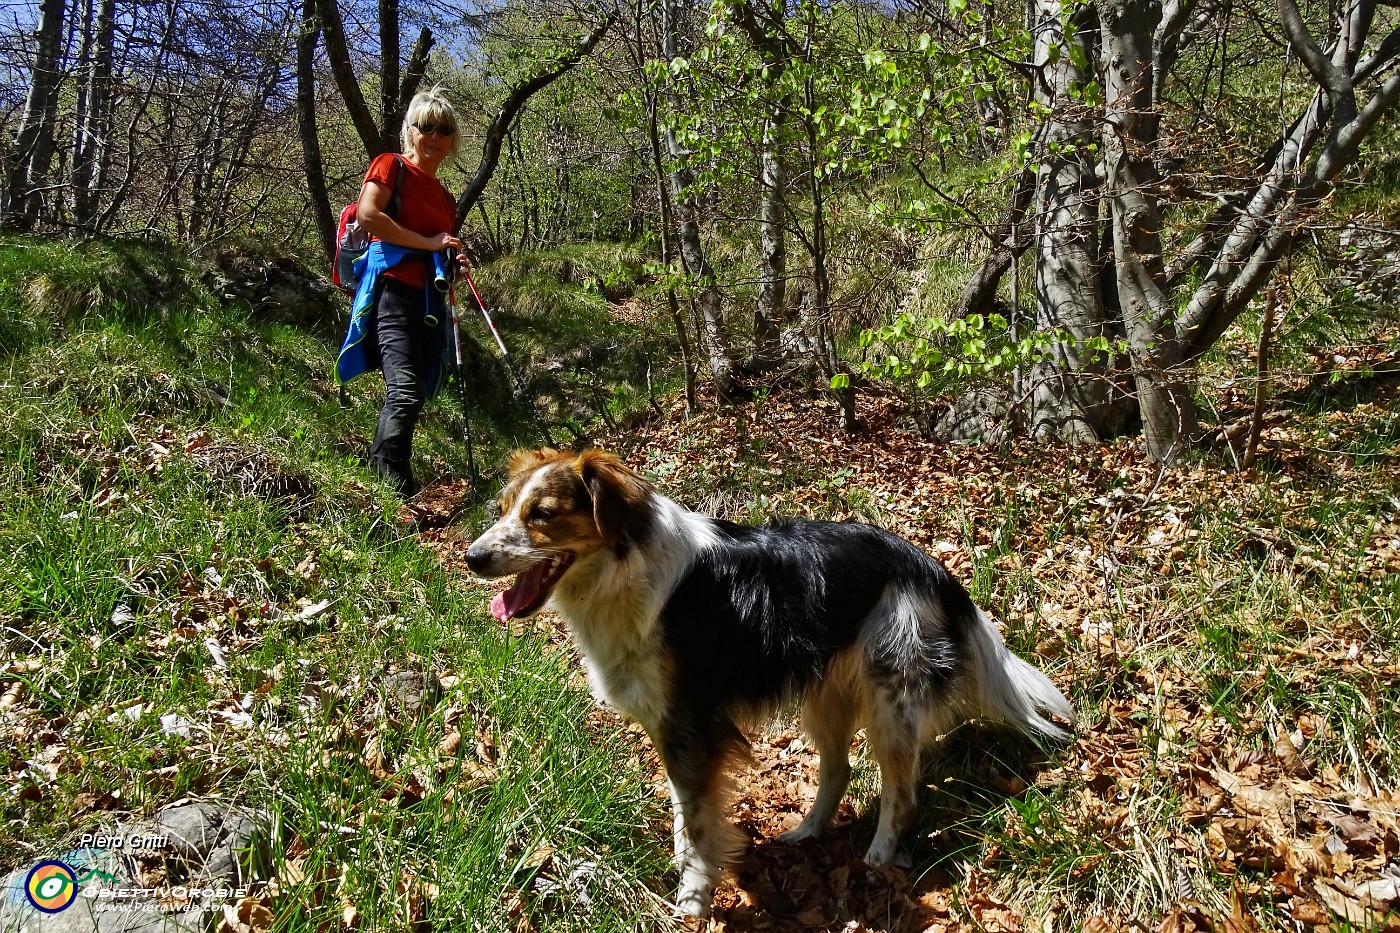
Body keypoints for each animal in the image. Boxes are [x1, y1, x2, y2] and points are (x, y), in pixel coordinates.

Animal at [467, 448, 1069, 913]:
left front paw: (693, 899)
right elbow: (684, 812)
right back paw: (806, 831)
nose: (472, 557)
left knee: (900, 792)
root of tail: (926, 564)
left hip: (890, 702)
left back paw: (878, 857)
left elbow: (697, 825)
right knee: (840, 770)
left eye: (542, 514)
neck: (625, 566)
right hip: (827, 697)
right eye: (502, 510)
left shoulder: (689, 724)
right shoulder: (671, 728)